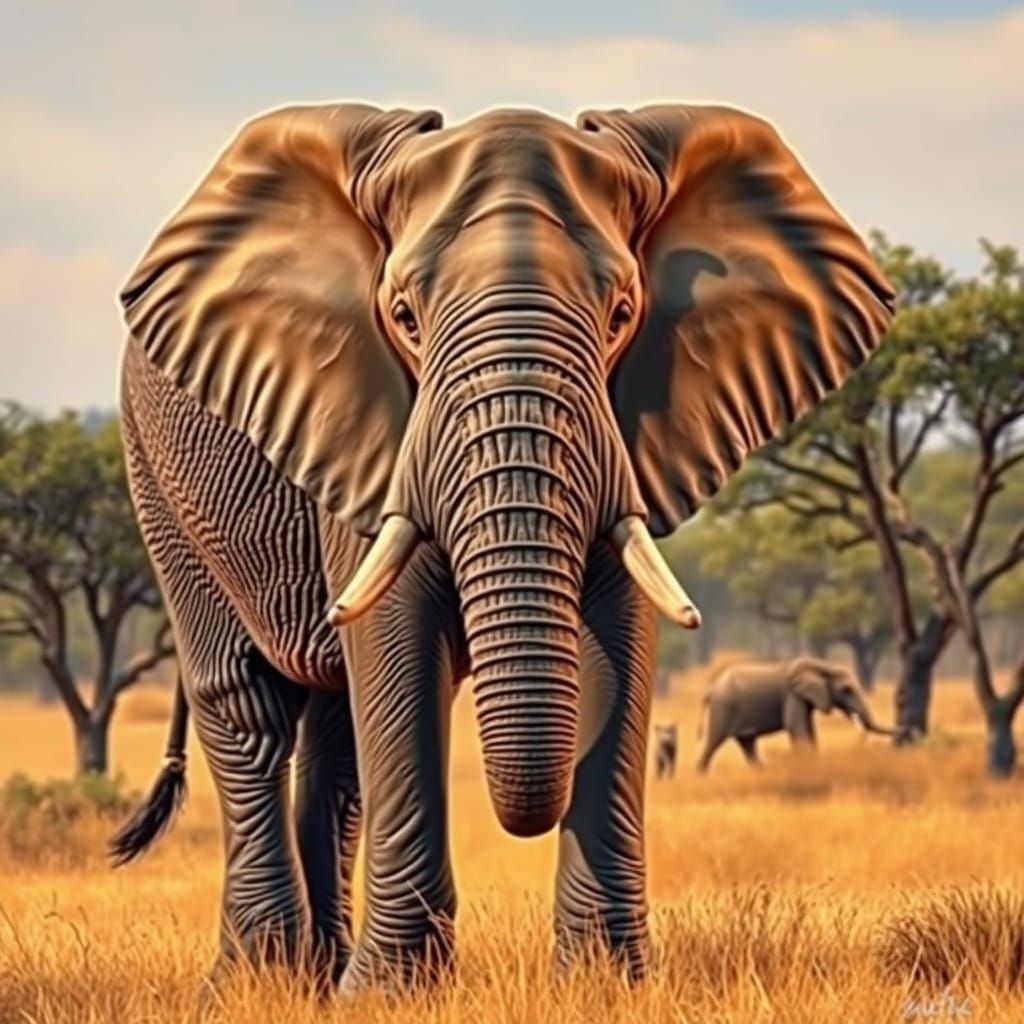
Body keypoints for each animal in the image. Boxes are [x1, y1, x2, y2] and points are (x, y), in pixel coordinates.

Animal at [696, 656, 901, 772]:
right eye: (846, 690)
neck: (822, 665)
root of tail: (711, 689)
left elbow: (809, 730)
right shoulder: (792, 694)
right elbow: (797, 728)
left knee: (748, 745)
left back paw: (761, 771)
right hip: (723, 708)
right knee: (713, 743)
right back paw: (701, 775)